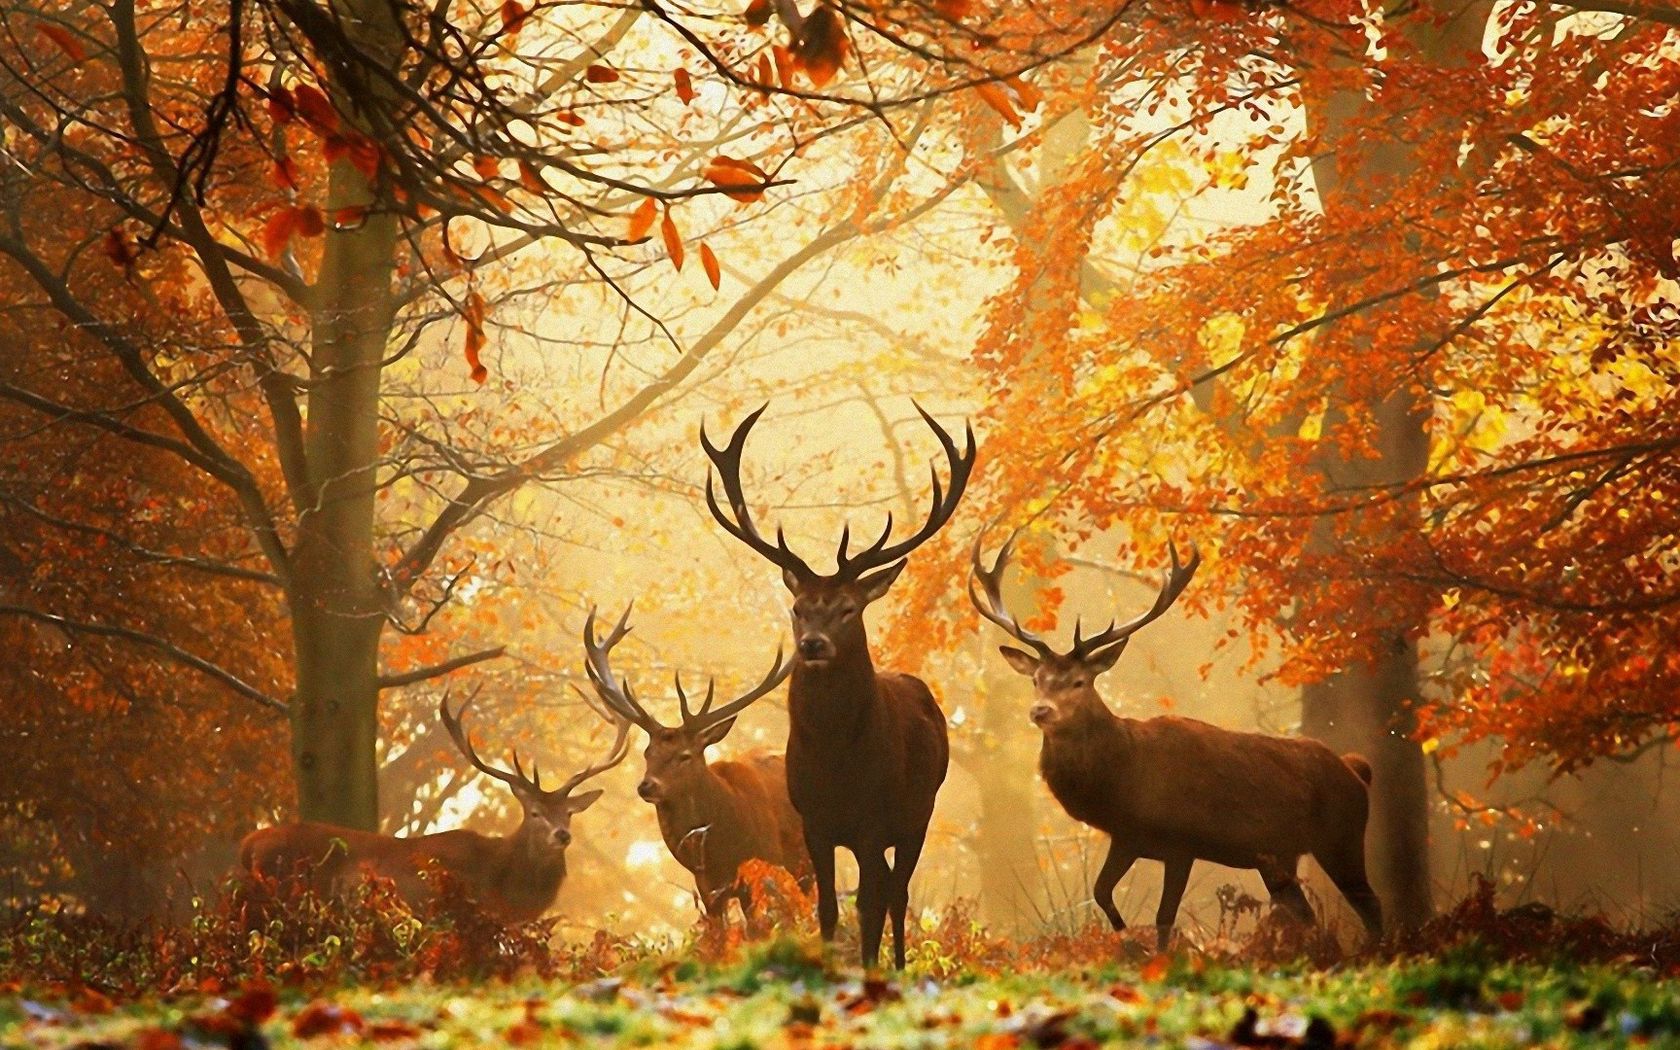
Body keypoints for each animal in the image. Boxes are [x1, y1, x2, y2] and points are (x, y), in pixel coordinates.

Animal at [701, 403, 974, 968]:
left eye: (849, 608)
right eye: (798, 607)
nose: (812, 645)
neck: (837, 763)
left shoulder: (874, 820)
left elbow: (869, 905)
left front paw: (869, 969)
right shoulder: (814, 822)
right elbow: (827, 907)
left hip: (919, 812)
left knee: (897, 892)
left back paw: (897, 965)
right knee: (889, 888)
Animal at [970, 535, 1384, 949]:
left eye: (1078, 681)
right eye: (1036, 679)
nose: (1040, 710)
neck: (1124, 780)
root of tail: (1356, 770)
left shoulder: (1182, 843)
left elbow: (1164, 917)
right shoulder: (1127, 837)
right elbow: (1101, 892)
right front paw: (1127, 941)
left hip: (1342, 837)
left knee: (1371, 905)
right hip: (1279, 857)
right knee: (1306, 914)